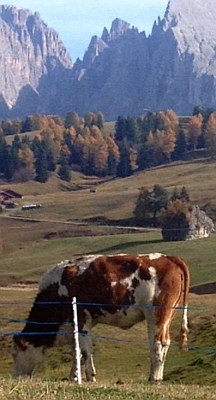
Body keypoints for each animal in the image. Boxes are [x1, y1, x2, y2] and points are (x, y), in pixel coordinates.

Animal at [11, 255, 190, 382]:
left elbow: (85, 351)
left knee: (158, 344)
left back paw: (154, 378)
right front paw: (73, 377)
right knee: (165, 343)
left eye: (15, 353)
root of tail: (168, 258)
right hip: (167, 317)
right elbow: (76, 351)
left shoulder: (82, 321)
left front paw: (90, 376)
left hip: (156, 314)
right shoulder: (73, 327)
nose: (15, 377)